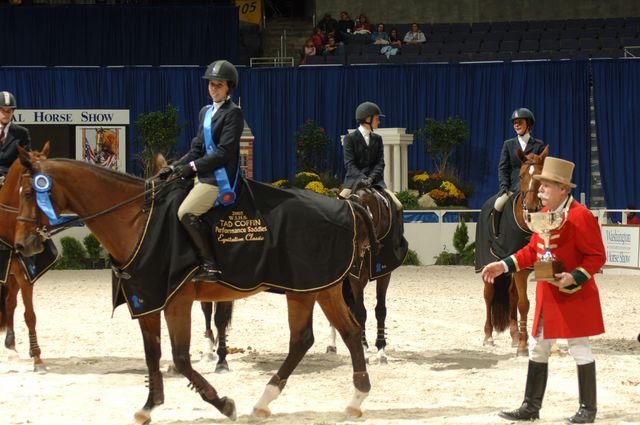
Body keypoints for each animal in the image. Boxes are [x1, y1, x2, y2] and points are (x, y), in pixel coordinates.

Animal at [13, 145, 376, 420]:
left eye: (31, 191)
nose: (22, 246)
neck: (136, 221)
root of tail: (345, 205)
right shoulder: (146, 299)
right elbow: (152, 354)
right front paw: (149, 407)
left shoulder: (176, 301)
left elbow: (180, 358)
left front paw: (223, 403)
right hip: (314, 289)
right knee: (331, 335)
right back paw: (332, 401)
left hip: (310, 288)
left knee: (320, 336)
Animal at [324, 184, 404, 362]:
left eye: (360, 224)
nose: (352, 258)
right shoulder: (356, 277)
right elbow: (360, 312)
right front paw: (363, 348)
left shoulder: (384, 274)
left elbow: (380, 310)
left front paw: (381, 349)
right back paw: (332, 344)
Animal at [476, 145, 552, 354]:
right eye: (521, 175)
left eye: (542, 175)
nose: (532, 207)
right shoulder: (520, 269)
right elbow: (524, 304)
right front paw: (524, 347)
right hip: (487, 266)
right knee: (489, 296)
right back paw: (488, 337)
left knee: (511, 295)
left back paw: (514, 336)